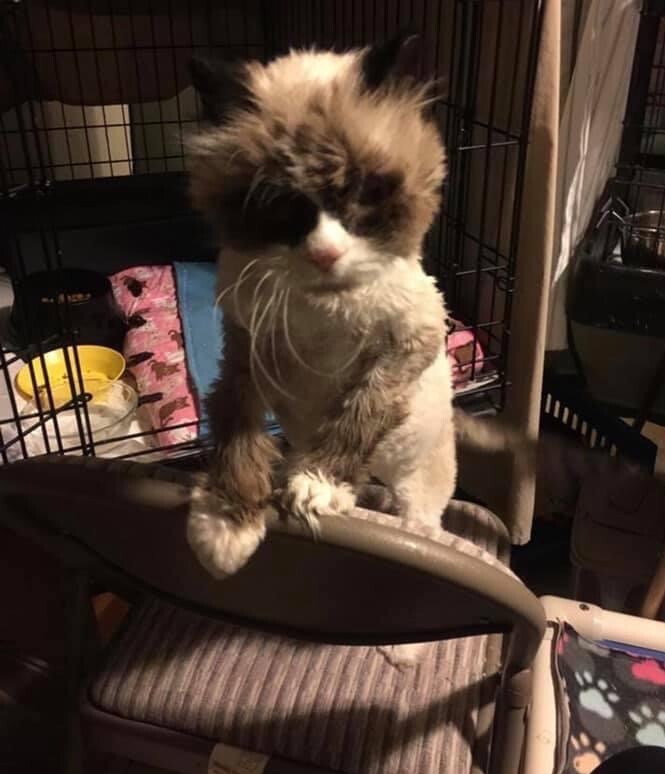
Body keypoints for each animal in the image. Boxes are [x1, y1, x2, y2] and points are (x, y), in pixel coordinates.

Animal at [187, 38, 456, 584]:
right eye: (281, 207)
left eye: (362, 194)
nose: (326, 254)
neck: (325, 309)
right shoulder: (246, 350)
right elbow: (233, 424)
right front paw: (225, 524)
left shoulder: (407, 341)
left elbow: (360, 409)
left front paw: (317, 486)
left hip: (418, 484)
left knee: (417, 515)